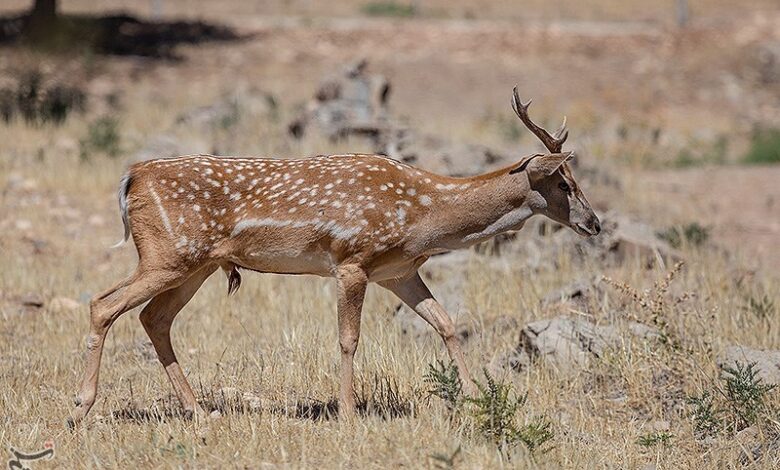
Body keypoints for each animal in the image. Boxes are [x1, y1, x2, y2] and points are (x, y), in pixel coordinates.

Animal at [68, 86, 604, 428]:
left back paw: (198, 411)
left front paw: (476, 398)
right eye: (564, 182)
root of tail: (132, 177)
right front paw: (347, 413)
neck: (424, 215)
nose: (595, 224)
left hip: (194, 264)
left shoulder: (399, 272)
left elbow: (447, 323)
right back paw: (80, 409)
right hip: (168, 254)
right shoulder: (352, 261)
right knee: (103, 304)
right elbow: (349, 340)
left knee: (153, 317)